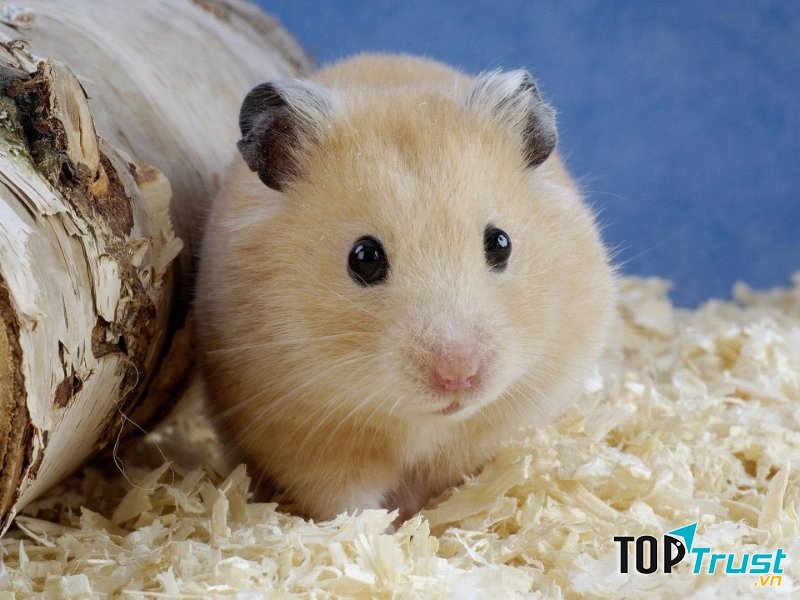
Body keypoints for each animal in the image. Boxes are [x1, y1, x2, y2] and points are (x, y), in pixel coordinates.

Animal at [194, 54, 615, 522]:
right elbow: (347, 502)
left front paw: (434, 519)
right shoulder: (305, 437)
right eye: (364, 258)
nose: (458, 376)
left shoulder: (501, 423)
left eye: (501, 243)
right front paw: (386, 529)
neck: (423, 422)